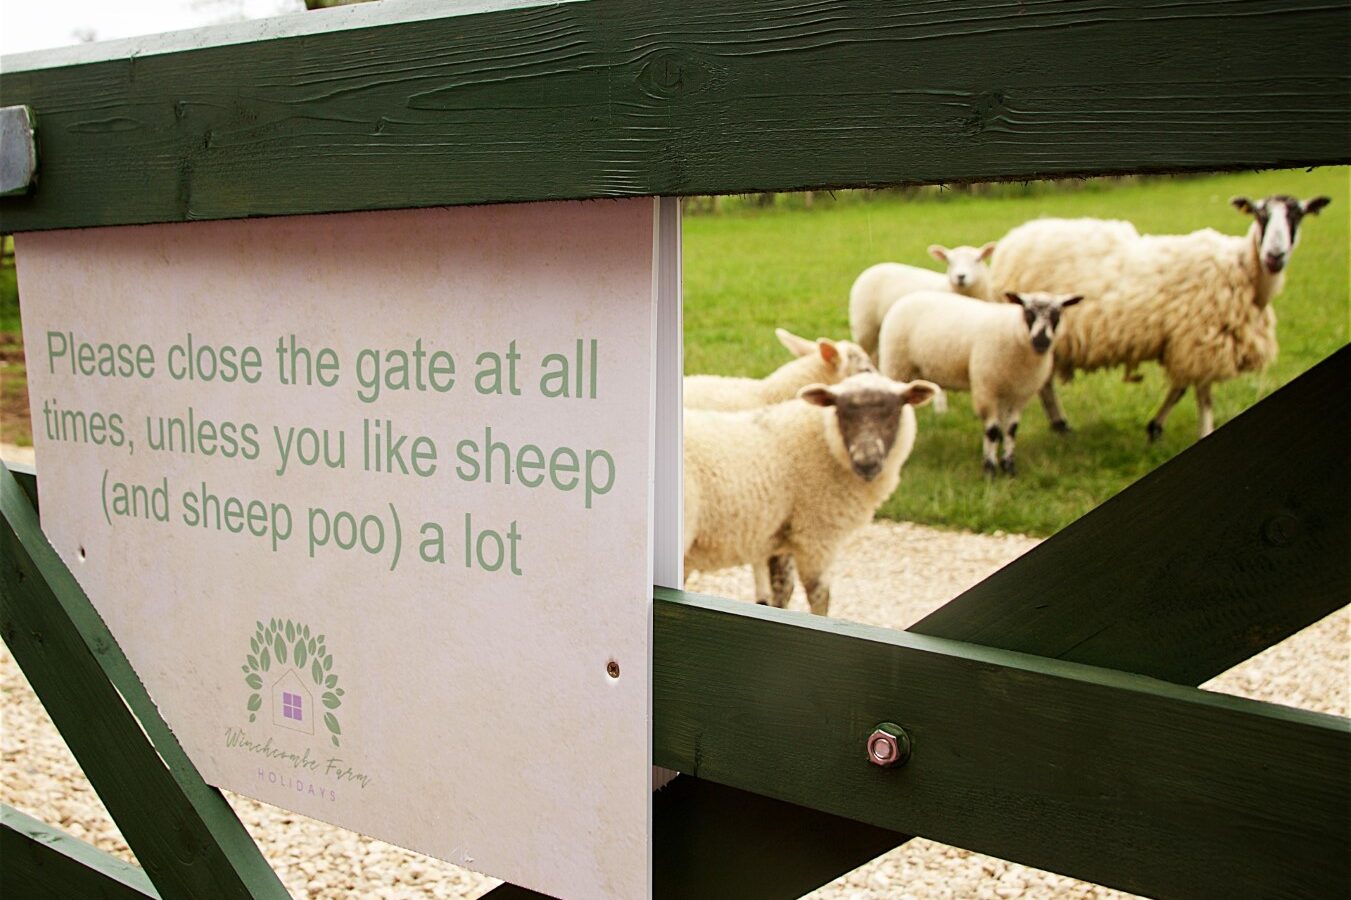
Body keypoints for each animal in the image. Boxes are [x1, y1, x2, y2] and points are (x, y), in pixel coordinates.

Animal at [686, 367, 940, 613]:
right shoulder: (815, 537)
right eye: (842, 412)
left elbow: (783, 589)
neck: (824, 444)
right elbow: (819, 597)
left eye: (893, 411)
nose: (867, 462)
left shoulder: (780, 536)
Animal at [875, 289, 1086, 472]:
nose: (1041, 341)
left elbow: (1011, 430)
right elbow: (992, 430)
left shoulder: (1018, 394)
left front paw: (1009, 466)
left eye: (1057, 314)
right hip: (896, 365)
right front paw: (990, 468)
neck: (1014, 332)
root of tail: (909, 297)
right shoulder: (987, 388)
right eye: (1028, 312)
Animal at [994, 193, 1329, 437]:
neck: (1243, 270)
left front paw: (1155, 427)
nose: (1275, 256)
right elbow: (1202, 397)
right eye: (1260, 215)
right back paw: (1057, 424)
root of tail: (1011, 241)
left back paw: (1059, 424)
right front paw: (1201, 431)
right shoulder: (1201, 341)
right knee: (1043, 384)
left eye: (1297, 216)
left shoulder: (1186, 342)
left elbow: (1180, 389)